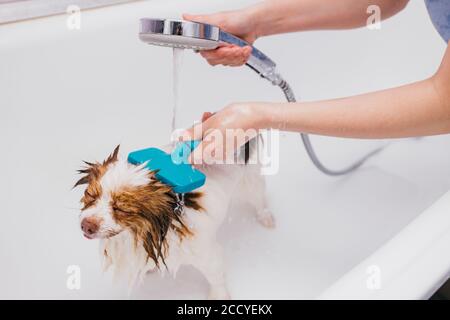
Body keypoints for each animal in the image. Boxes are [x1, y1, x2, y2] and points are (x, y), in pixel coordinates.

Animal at [74, 145, 274, 300]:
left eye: (121, 209)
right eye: (90, 195)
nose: (86, 225)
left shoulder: (207, 254)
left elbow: (216, 277)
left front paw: (219, 296)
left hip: (251, 183)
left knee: (259, 199)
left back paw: (266, 218)